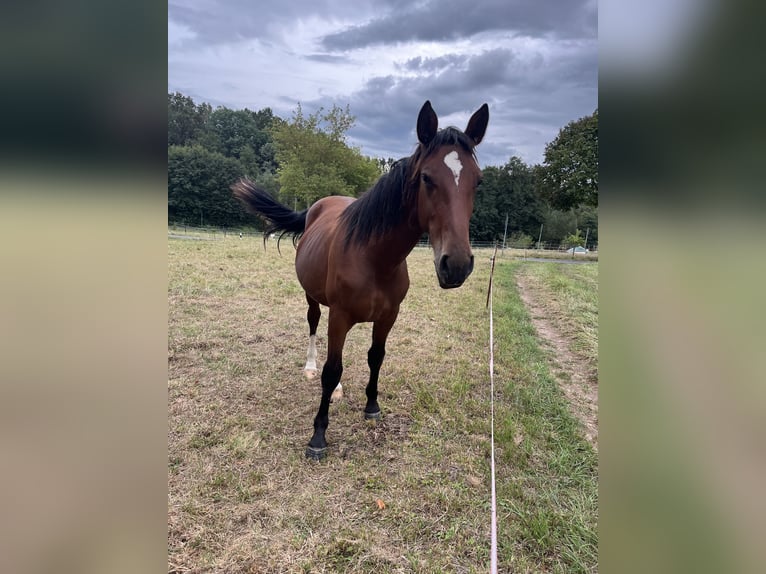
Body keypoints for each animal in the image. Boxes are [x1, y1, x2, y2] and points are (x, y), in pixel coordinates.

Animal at [232, 99, 492, 460]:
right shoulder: (340, 315)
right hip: (314, 299)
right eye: (427, 178)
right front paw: (318, 436)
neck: (374, 257)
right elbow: (331, 370)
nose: (456, 265)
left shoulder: (388, 316)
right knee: (314, 327)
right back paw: (310, 367)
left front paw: (372, 406)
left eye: (477, 181)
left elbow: (375, 357)